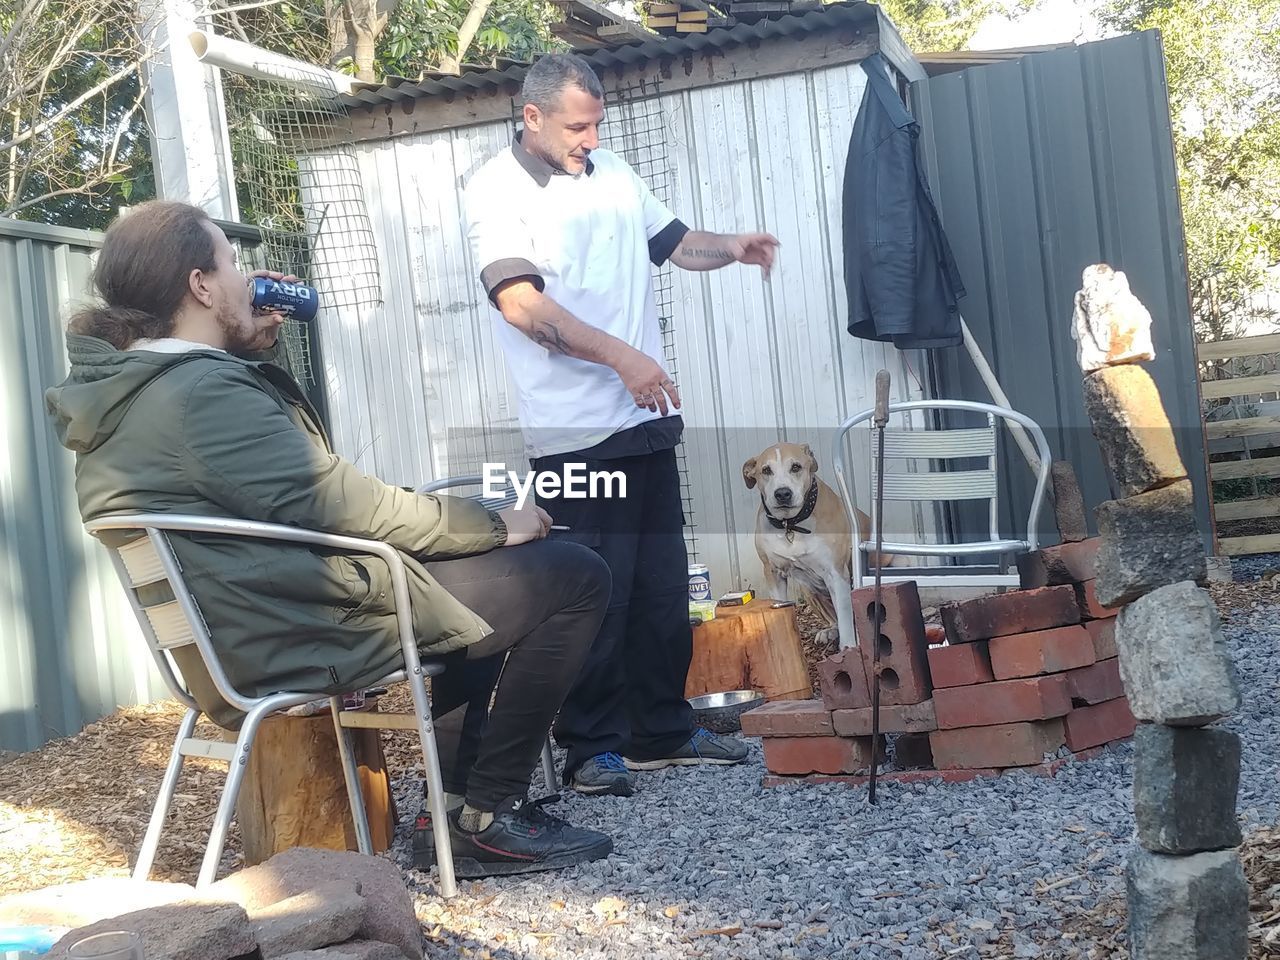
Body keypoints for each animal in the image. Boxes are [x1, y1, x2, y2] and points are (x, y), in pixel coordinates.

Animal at [742, 445, 890, 655]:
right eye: (766, 470)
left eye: (796, 467)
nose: (782, 493)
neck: (791, 525)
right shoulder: (772, 571)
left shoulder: (836, 572)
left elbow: (845, 614)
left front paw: (848, 648)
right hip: (807, 589)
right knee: (834, 618)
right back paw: (829, 631)